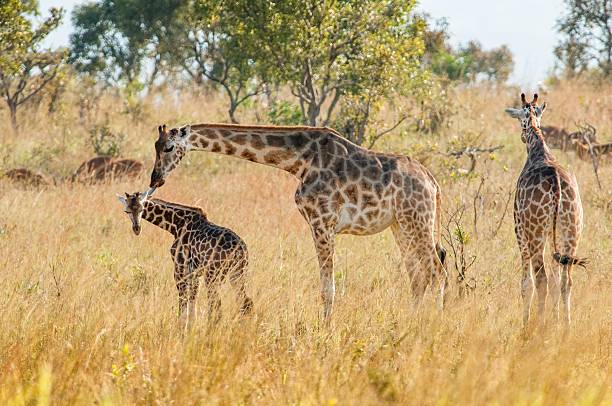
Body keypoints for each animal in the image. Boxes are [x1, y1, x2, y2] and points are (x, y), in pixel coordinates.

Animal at [117, 190, 253, 326]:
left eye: (141, 209)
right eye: (127, 211)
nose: (136, 229)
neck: (176, 224)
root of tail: (240, 249)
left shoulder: (180, 269)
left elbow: (183, 302)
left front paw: (181, 327)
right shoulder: (194, 273)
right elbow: (192, 303)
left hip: (213, 275)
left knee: (216, 306)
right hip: (237, 273)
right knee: (244, 303)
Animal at [147, 122, 444, 318]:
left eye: (169, 147)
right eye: (156, 147)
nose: (155, 179)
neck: (299, 161)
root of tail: (433, 182)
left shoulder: (323, 221)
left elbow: (328, 288)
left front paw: (325, 332)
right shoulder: (320, 224)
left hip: (418, 221)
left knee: (437, 272)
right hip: (401, 225)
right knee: (418, 277)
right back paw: (412, 322)